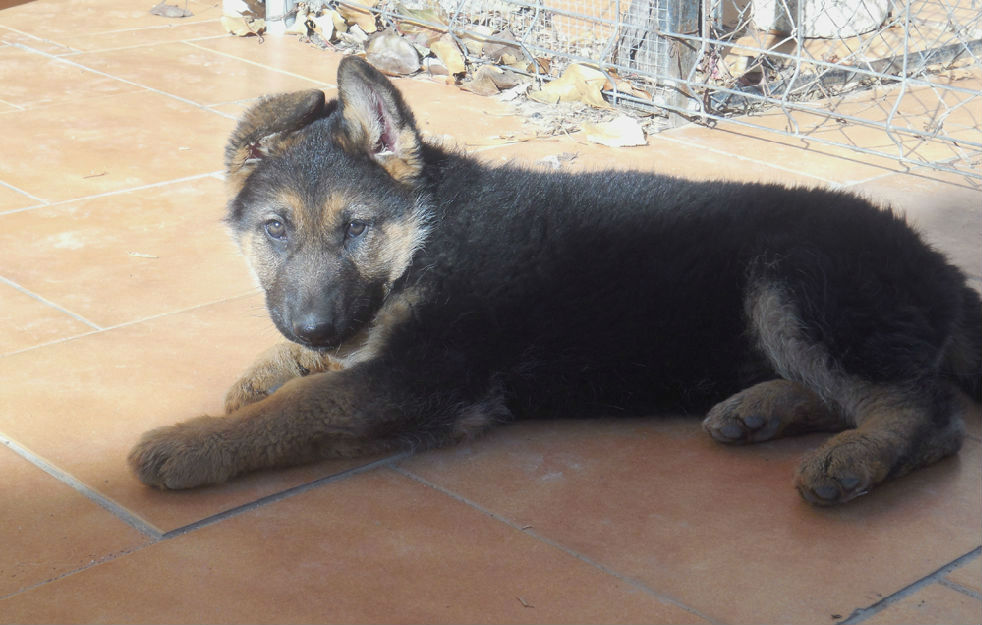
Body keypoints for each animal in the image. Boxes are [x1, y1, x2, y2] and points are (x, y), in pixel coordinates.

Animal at [129, 56, 982, 504]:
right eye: (276, 230)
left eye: (355, 229)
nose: (314, 325)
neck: (428, 232)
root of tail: (941, 266)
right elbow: (316, 367)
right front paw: (265, 369)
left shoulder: (423, 377)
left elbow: (302, 404)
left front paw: (194, 440)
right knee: (864, 390)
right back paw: (760, 408)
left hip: (793, 281)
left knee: (929, 415)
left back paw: (854, 457)